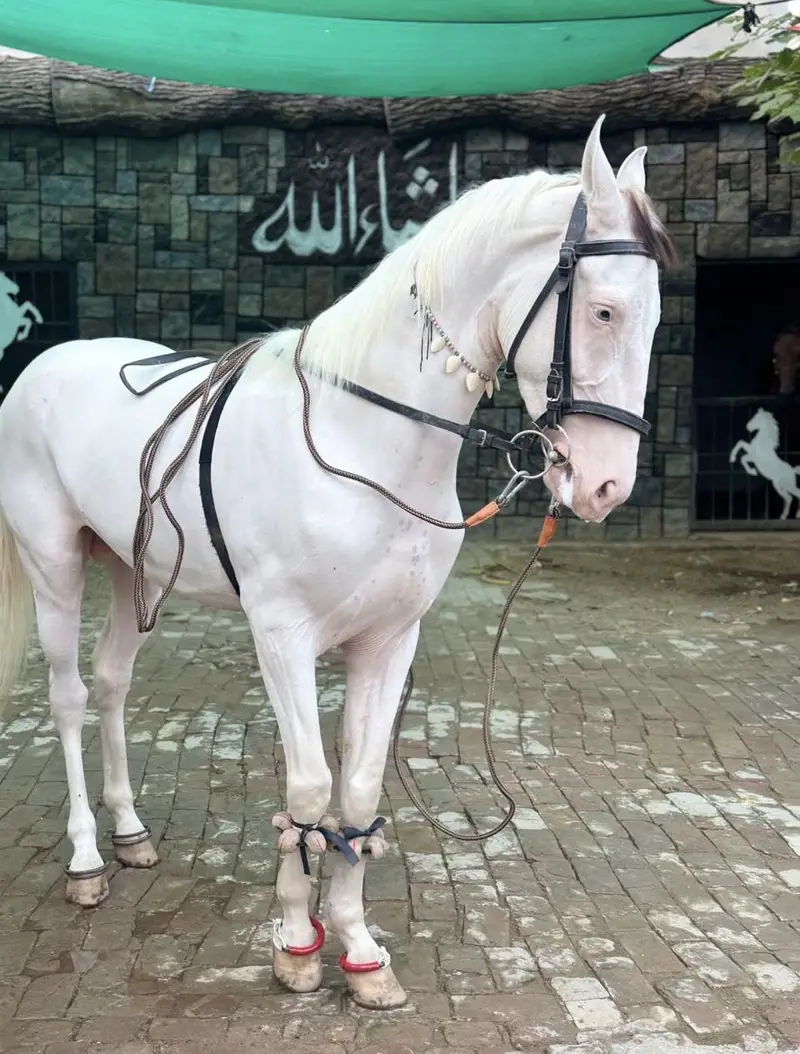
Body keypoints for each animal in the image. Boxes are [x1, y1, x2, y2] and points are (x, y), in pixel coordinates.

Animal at [0, 117, 669, 1010]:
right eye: (602, 309)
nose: (603, 485)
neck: (363, 440)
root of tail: (43, 365)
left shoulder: (388, 640)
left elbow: (357, 790)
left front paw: (357, 949)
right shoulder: (282, 636)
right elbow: (309, 791)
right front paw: (295, 942)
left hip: (133, 573)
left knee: (111, 682)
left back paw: (132, 832)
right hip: (55, 566)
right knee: (70, 697)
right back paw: (84, 858)